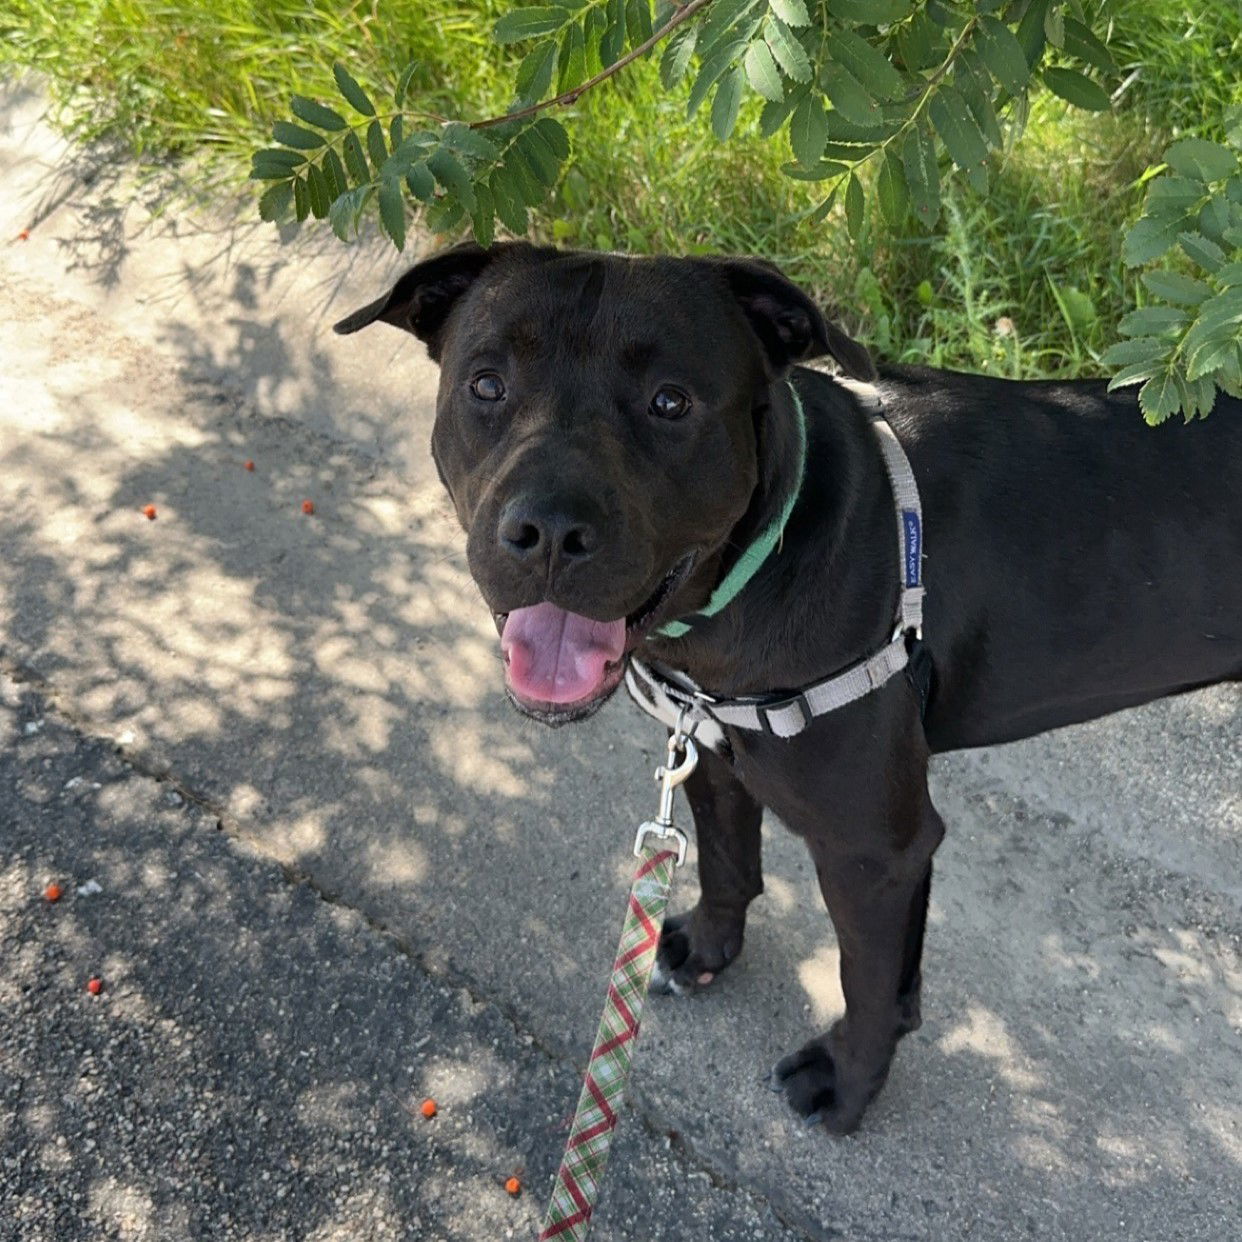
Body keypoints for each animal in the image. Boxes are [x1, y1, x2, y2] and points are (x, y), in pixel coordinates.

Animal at [332, 242, 1242, 1137]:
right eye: (487, 385)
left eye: (671, 402)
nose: (548, 532)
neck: (764, 557)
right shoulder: (714, 749)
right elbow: (728, 864)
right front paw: (706, 948)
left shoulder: (875, 848)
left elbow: (870, 982)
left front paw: (847, 1083)